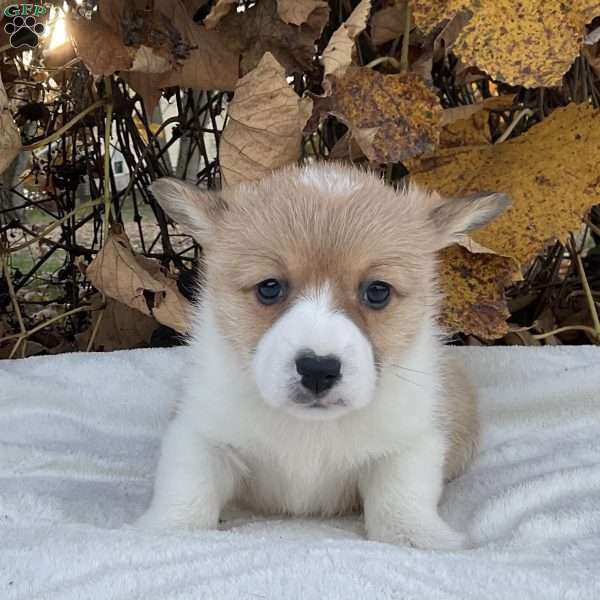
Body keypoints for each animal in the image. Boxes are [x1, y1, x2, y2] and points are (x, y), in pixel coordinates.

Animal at [137, 162, 510, 552]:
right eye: (269, 287)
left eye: (378, 291)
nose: (318, 369)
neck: (310, 430)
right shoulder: (200, 433)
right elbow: (187, 490)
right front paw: (167, 531)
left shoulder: (409, 443)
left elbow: (400, 500)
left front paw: (418, 538)